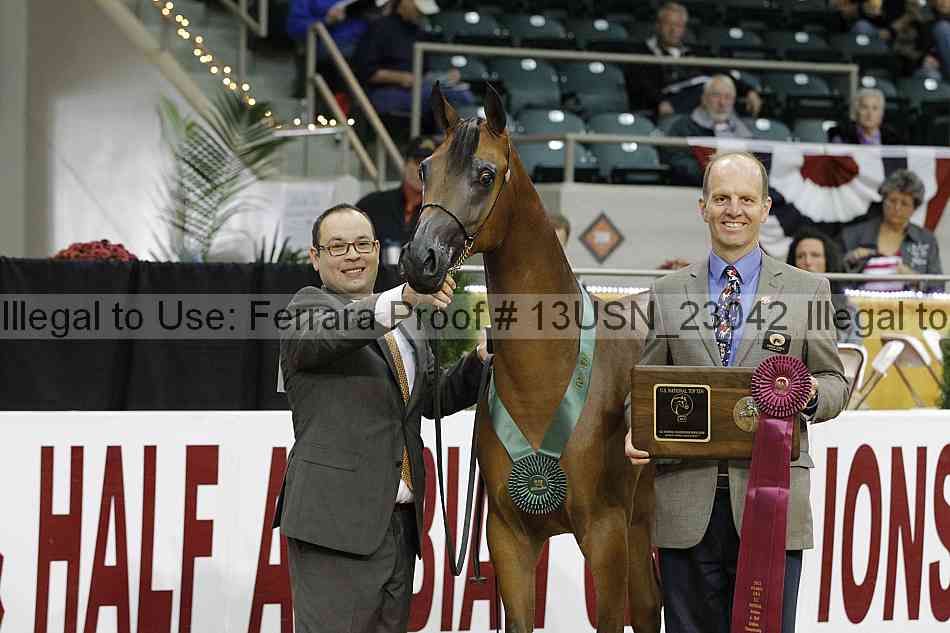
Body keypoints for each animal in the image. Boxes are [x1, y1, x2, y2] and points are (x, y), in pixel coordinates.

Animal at [399, 84, 661, 633]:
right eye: (426, 169)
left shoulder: (605, 534)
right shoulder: (509, 539)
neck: (546, 379)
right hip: (641, 519)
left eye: (485, 174)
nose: (419, 259)